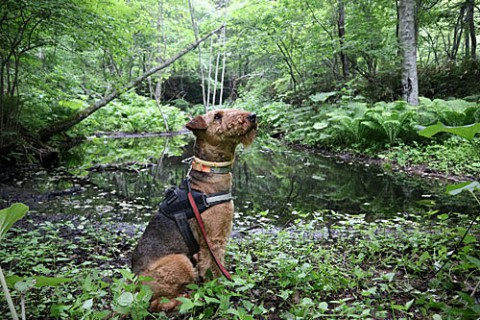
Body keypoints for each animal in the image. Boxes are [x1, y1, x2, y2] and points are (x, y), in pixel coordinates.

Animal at [131, 109, 256, 312]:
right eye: (217, 116)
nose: (252, 116)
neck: (210, 175)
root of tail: (134, 284)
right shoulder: (213, 241)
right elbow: (215, 270)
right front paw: (220, 291)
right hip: (180, 261)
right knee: (158, 303)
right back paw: (187, 298)